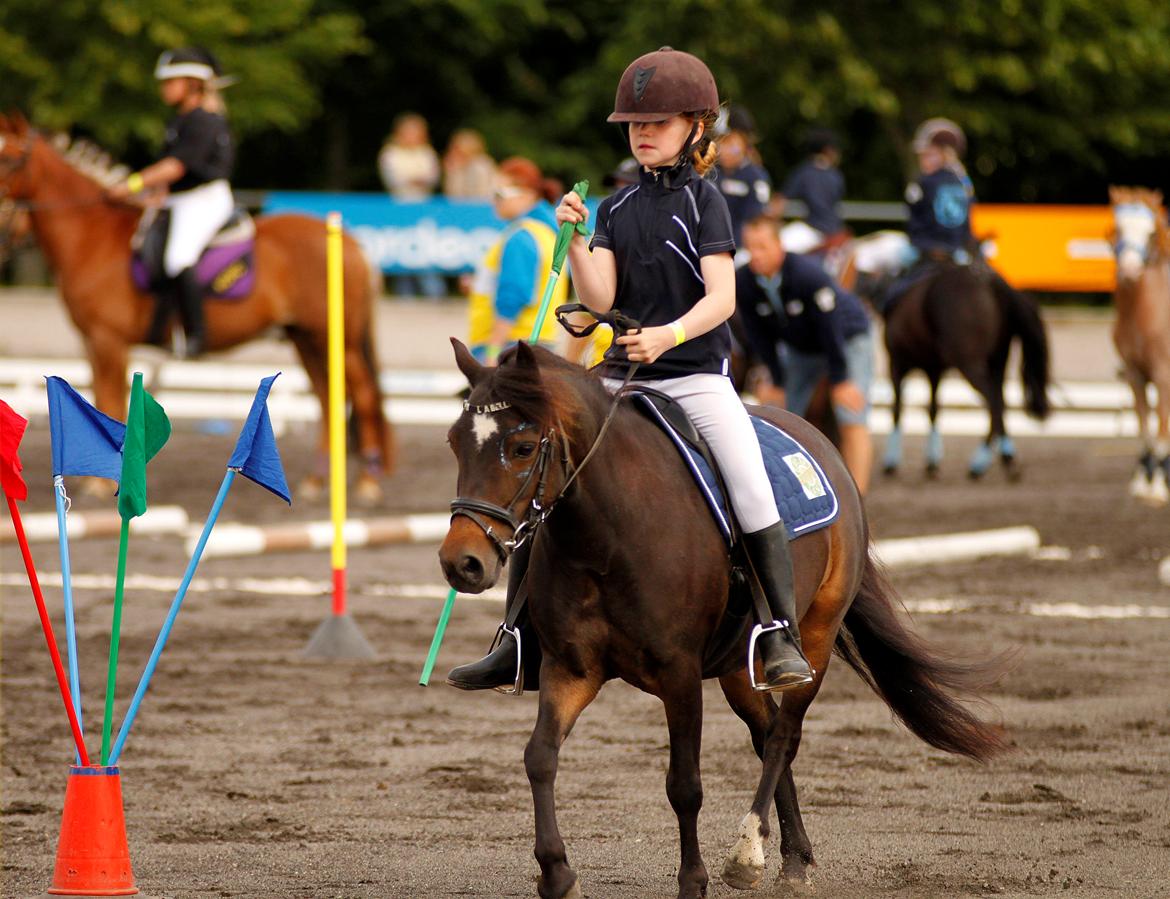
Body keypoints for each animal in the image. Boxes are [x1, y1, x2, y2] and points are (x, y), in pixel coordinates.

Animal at [0, 112, 395, 498]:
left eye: (9, 159)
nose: (7, 230)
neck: (92, 236)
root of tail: (352, 244)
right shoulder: (93, 343)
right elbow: (98, 400)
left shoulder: (107, 340)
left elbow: (108, 400)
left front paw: (100, 485)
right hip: (307, 339)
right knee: (328, 399)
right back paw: (316, 480)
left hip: (336, 340)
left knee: (362, 395)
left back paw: (369, 482)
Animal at [439, 337, 1006, 899]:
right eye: (454, 443)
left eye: (522, 447)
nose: (460, 563)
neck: (606, 535)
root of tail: (816, 439)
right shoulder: (571, 669)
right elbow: (539, 757)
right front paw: (557, 873)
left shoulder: (680, 674)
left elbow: (684, 785)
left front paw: (693, 881)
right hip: (739, 665)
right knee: (767, 731)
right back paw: (794, 857)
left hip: (816, 639)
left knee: (783, 736)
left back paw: (749, 852)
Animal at [879, 262, 1053, 477]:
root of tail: (991, 281)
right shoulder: (934, 369)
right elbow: (933, 409)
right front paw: (931, 461)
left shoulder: (897, 363)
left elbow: (897, 409)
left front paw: (892, 462)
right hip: (997, 360)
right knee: (999, 401)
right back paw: (996, 459)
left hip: (969, 363)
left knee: (993, 401)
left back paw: (992, 460)